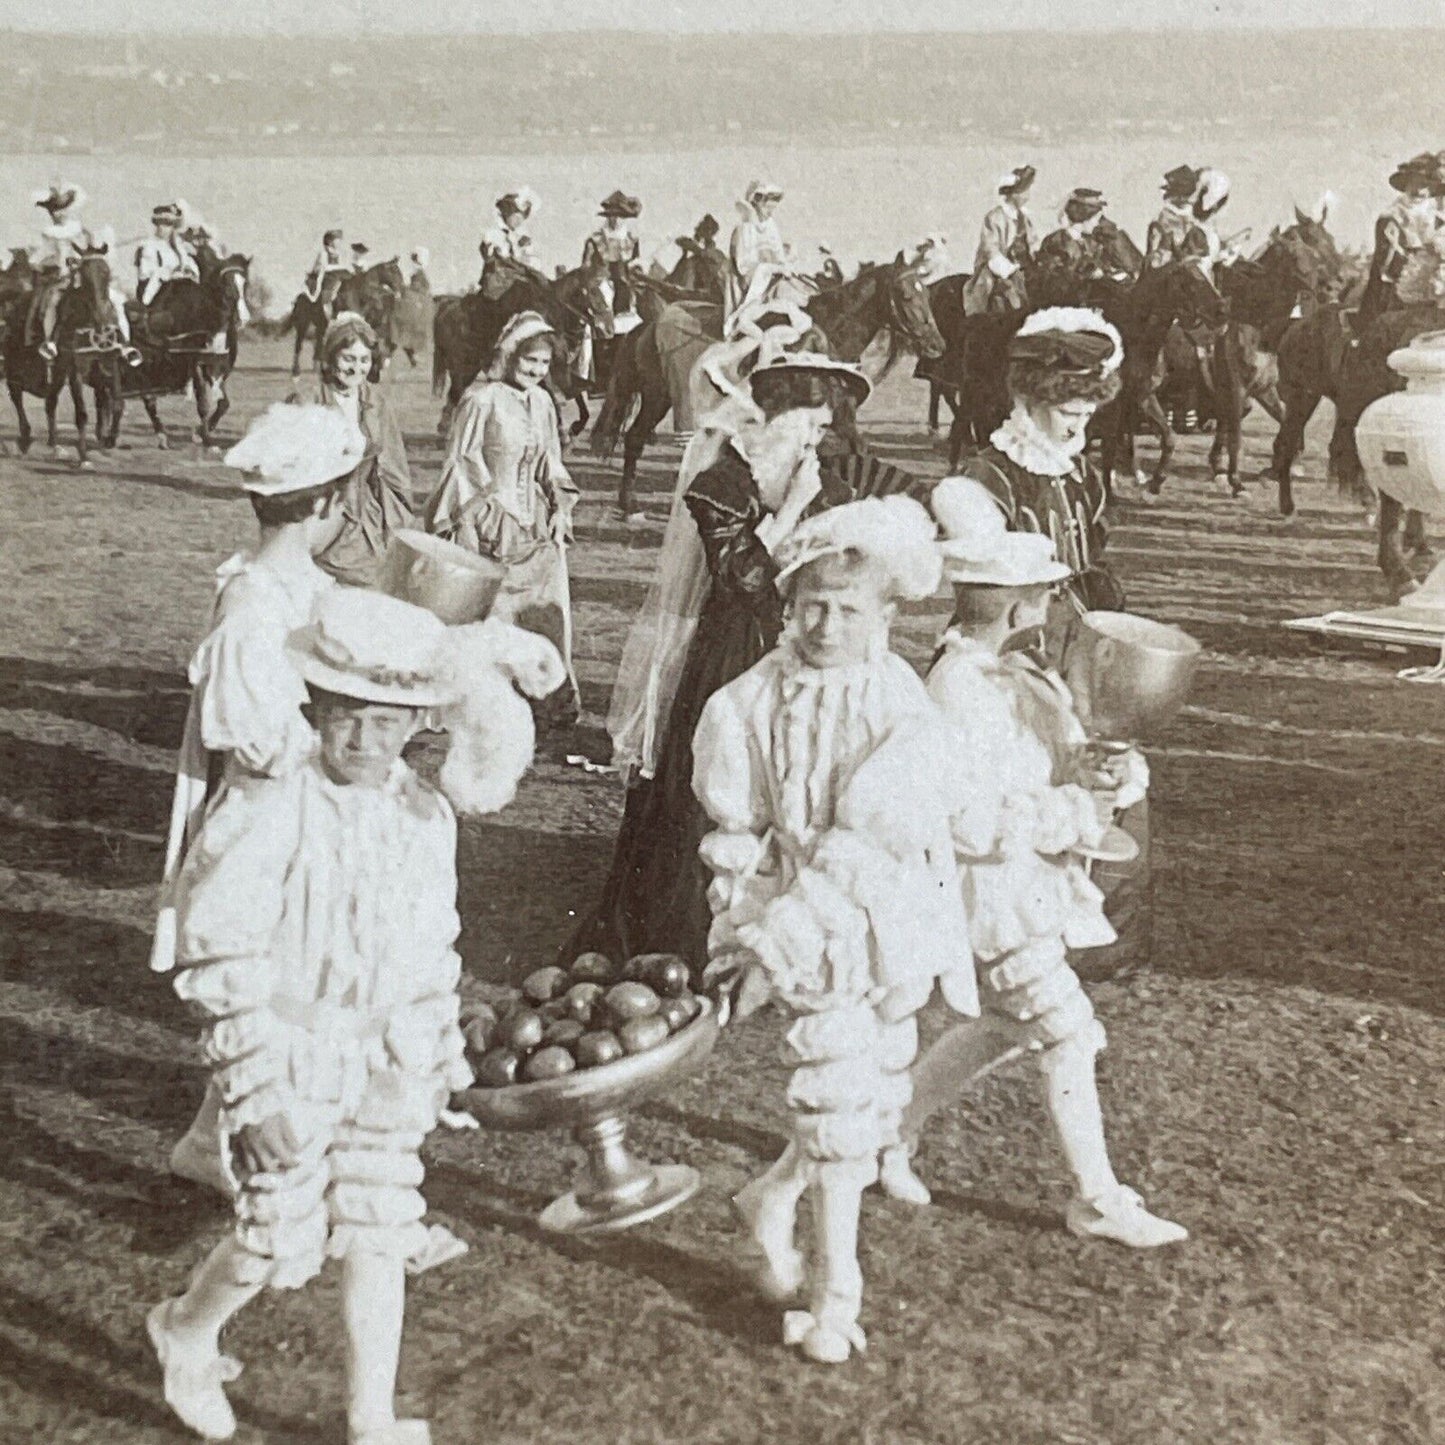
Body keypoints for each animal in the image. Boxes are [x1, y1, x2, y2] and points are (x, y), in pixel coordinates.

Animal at [2, 248, 124, 462]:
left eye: (106, 274)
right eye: (84, 277)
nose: (102, 318)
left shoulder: (108, 366)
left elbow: (116, 402)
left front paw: (109, 439)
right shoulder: (75, 371)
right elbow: (82, 413)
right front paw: (84, 455)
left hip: (56, 374)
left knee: (50, 402)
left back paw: (54, 444)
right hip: (15, 368)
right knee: (17, 396)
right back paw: (26, 437)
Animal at [118, 245, 257, 450]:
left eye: (245, 282)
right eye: (225, 284)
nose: (244, 318)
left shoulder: (219, 366)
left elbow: (222, 403)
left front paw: (201, 432)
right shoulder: (194, 364)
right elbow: (204, 404)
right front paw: (206, 439)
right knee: (149, 399)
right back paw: (162, 435)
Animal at [424, 257, 612, 433]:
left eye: (612, 290)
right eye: (593, 289)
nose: (608, 328)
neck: (556, 315)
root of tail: (448, 306)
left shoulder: (563, 372)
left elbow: (580, 392)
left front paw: (575, 427)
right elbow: (555, 396)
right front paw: (563, 433)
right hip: (463, 368)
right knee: (455, 393)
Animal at [589, 257, 947, 517]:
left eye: (928, 295)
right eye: (906, 295)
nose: (937, 344)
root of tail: (645, 328)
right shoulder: (835, 416)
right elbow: (858, 450)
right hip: (657, 396)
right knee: (635, 438)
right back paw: (630, 505)